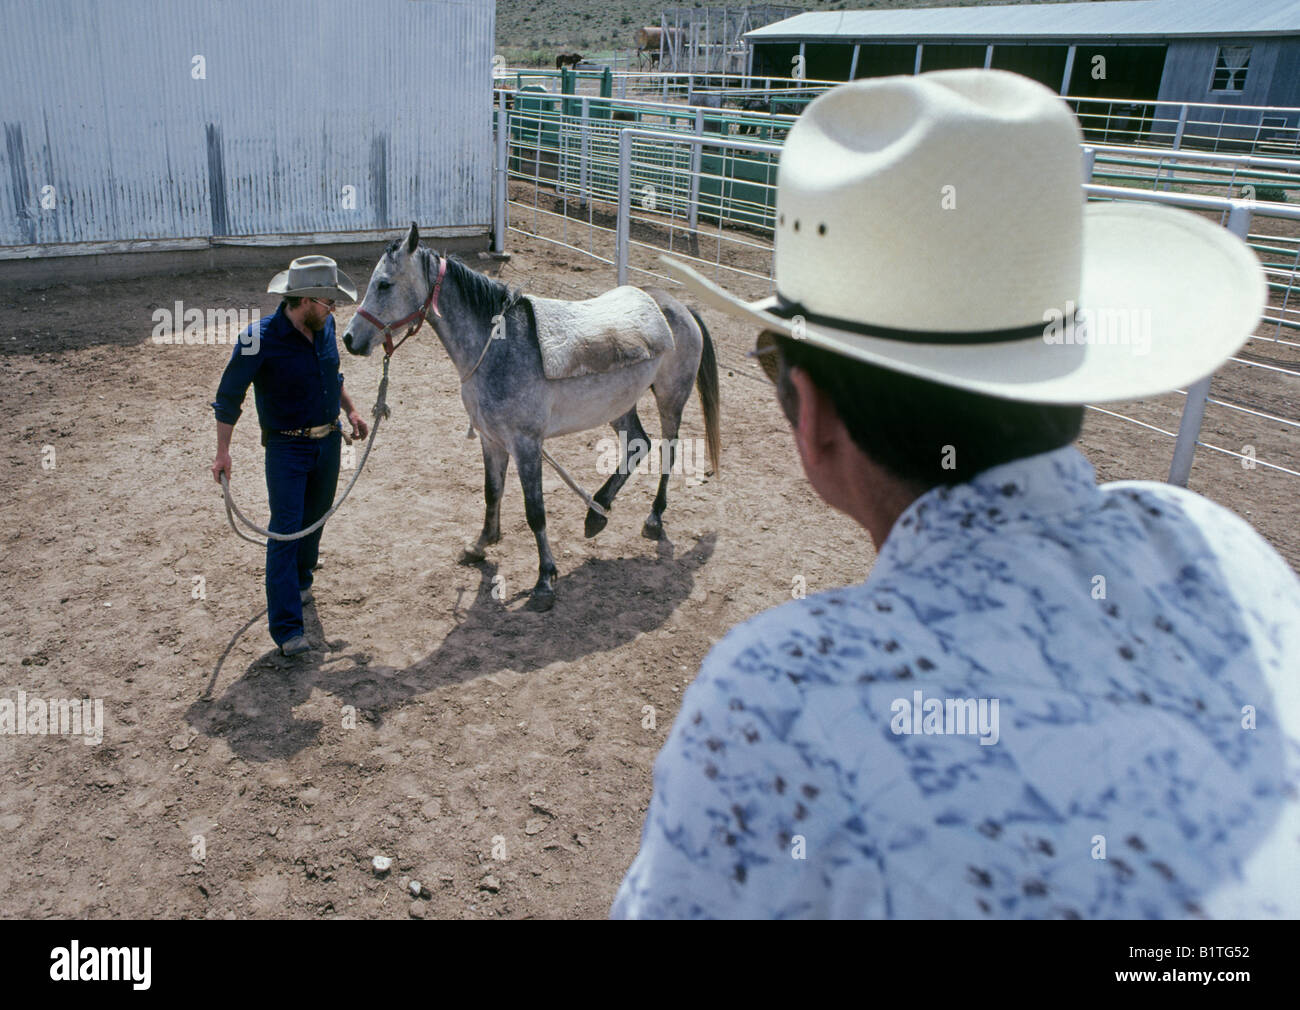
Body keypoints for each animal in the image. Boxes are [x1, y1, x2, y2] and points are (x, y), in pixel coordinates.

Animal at [340, 224, 722, 610]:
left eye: (384, 284)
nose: (349, 339)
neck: (496, 346)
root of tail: (679, 306)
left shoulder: (526, 444)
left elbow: (534, 511)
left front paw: (545, 580)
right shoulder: (491, 439)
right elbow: (492, 492)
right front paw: (481, 544)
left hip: (671, 399)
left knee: (668, 451)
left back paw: (653, 518)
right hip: (620, 406)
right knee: (638, 445)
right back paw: (596, 512)